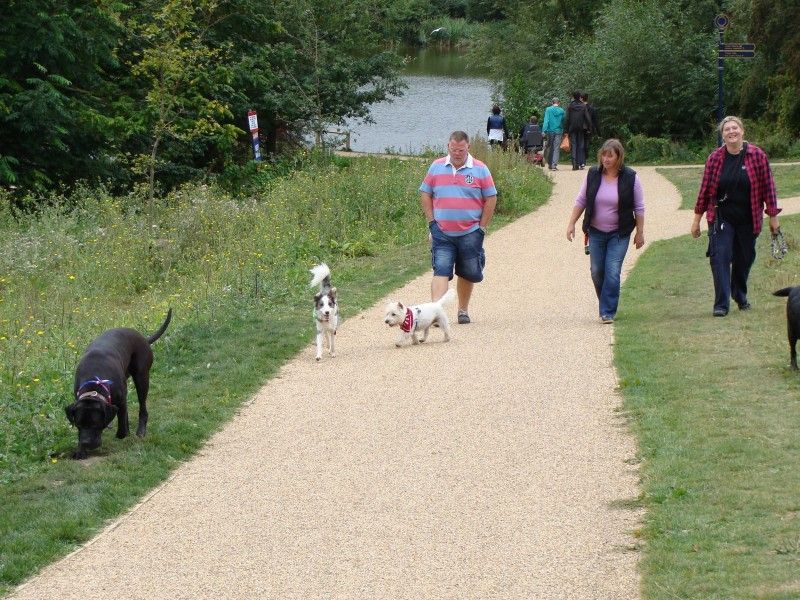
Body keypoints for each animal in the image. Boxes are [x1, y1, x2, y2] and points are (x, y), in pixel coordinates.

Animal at [66, 310, 173, 460]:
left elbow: (122, 422)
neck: (94, 385)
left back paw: (140, 431)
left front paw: (123, 434)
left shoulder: (120, 401)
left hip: (142, 378)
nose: (87, 443)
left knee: (142, 409)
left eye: (96, 423)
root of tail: (143, 338)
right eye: (78, 424)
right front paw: (80, 450)